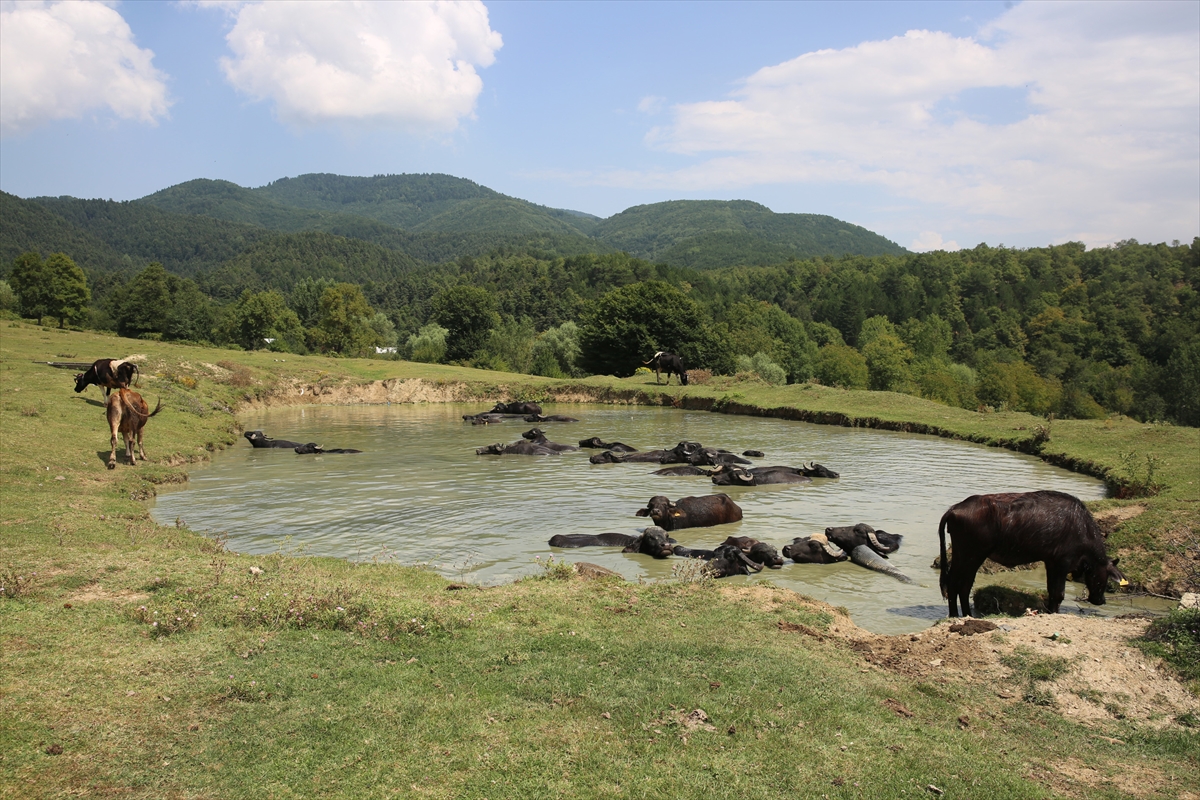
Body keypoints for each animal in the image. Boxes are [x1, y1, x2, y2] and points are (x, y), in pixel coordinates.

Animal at [936, 489, 1123, 618]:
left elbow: (1051, 592)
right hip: (971, 556)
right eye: (1107, 576)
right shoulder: (1062, 564)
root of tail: (955, 509)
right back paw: (956, 615)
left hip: (965, 556)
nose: (1101, 600)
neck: (1081, 527)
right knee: (957, 584)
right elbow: (1058, 594)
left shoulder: (1051, 563)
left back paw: (966, 615)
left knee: (962, 585)